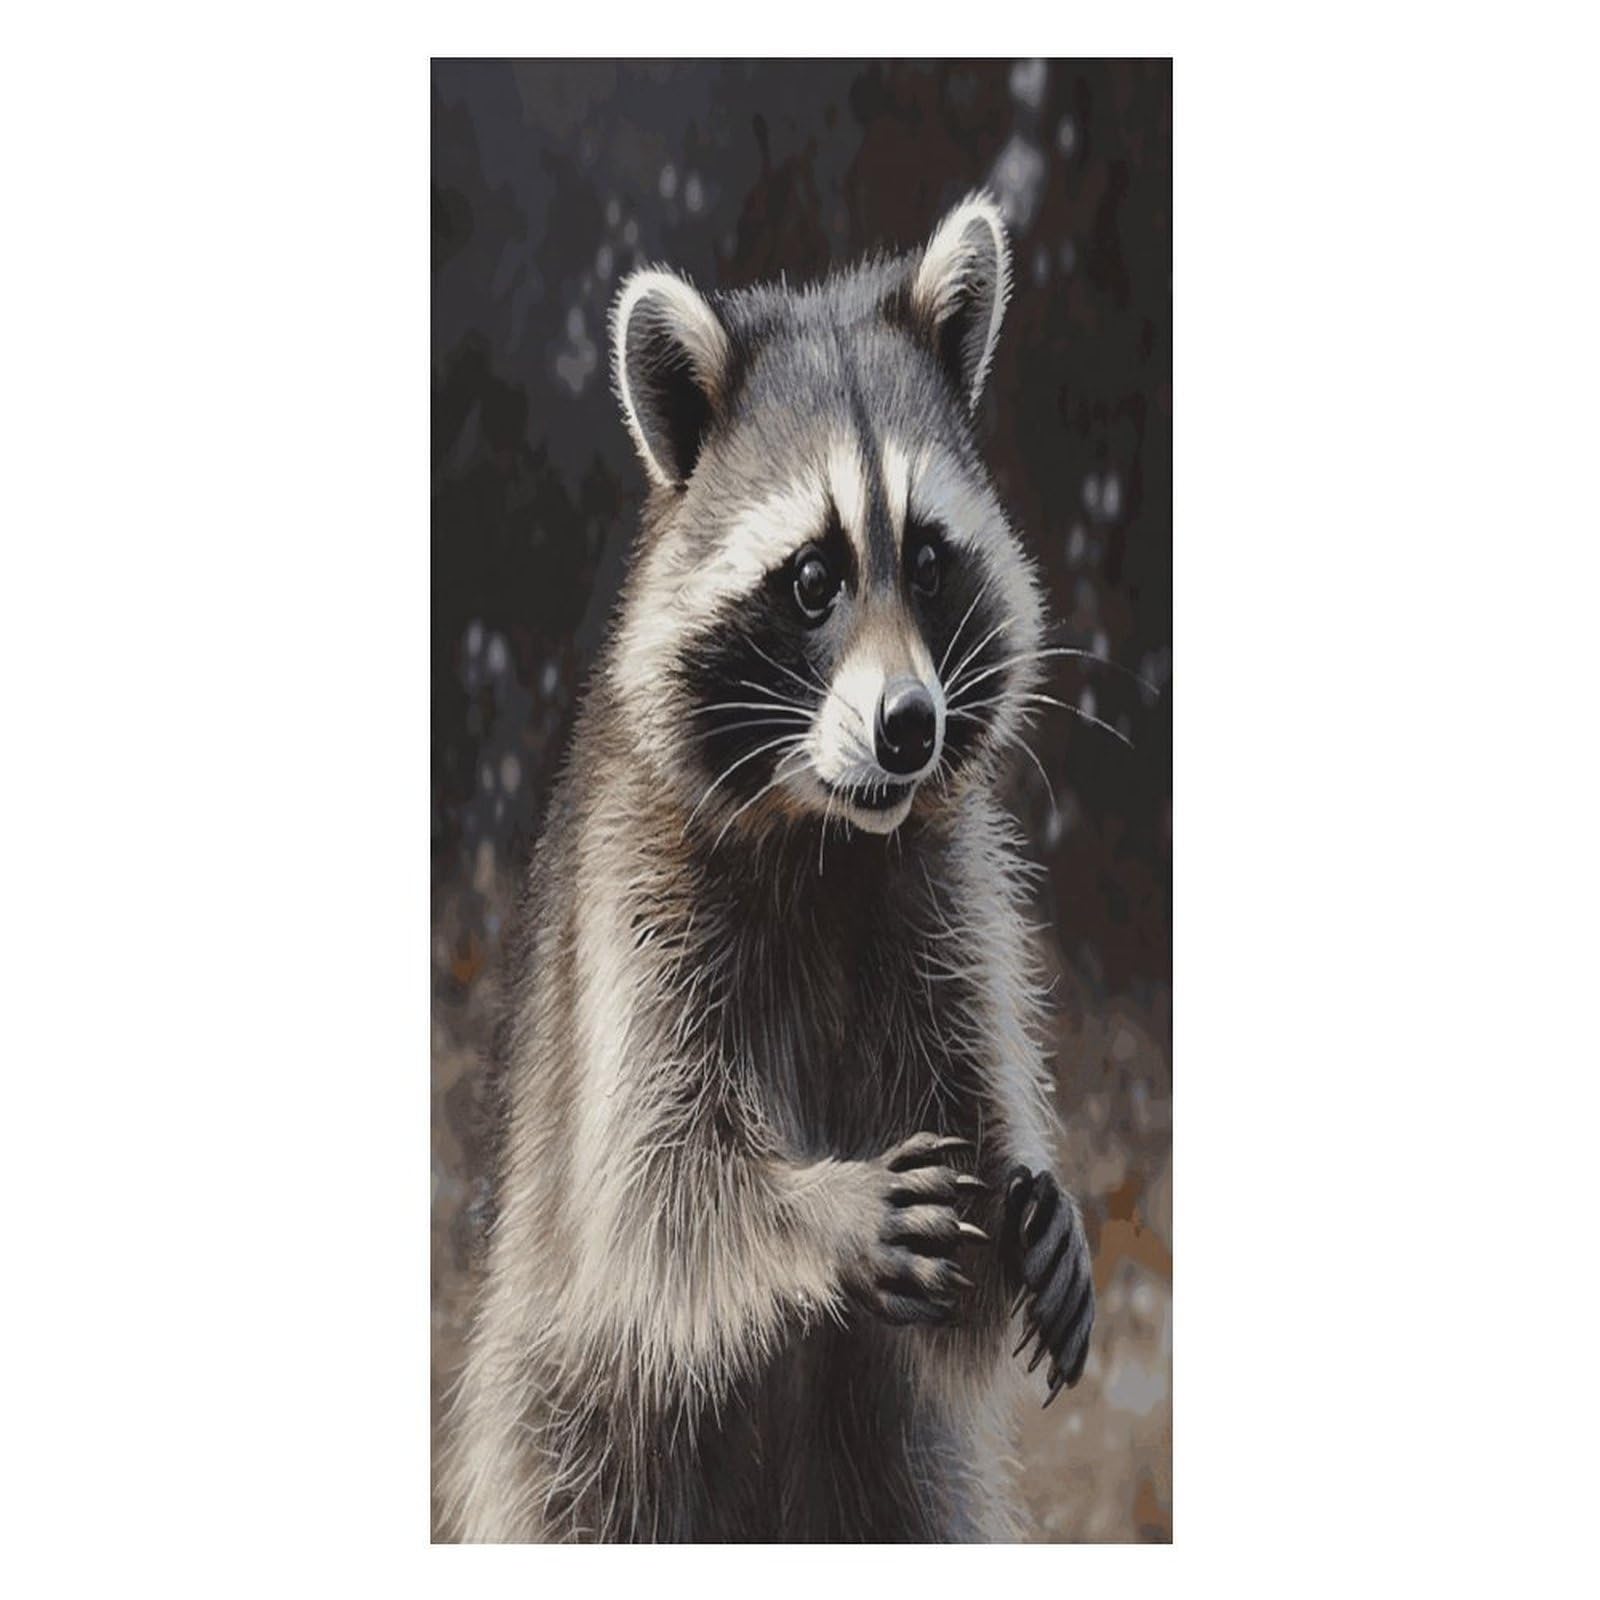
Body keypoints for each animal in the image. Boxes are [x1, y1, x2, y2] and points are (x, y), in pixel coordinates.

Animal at [441, 194, 1096, 1543]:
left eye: (930, 561)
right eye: (811, 578)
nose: (910, 726)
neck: (829, 836)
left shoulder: (945, 892)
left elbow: (962, 1264)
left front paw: (1032, 1205)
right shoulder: (633, 895)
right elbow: (649, 1200)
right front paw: (822, 1212)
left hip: (895, 1466)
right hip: (569, 1437)